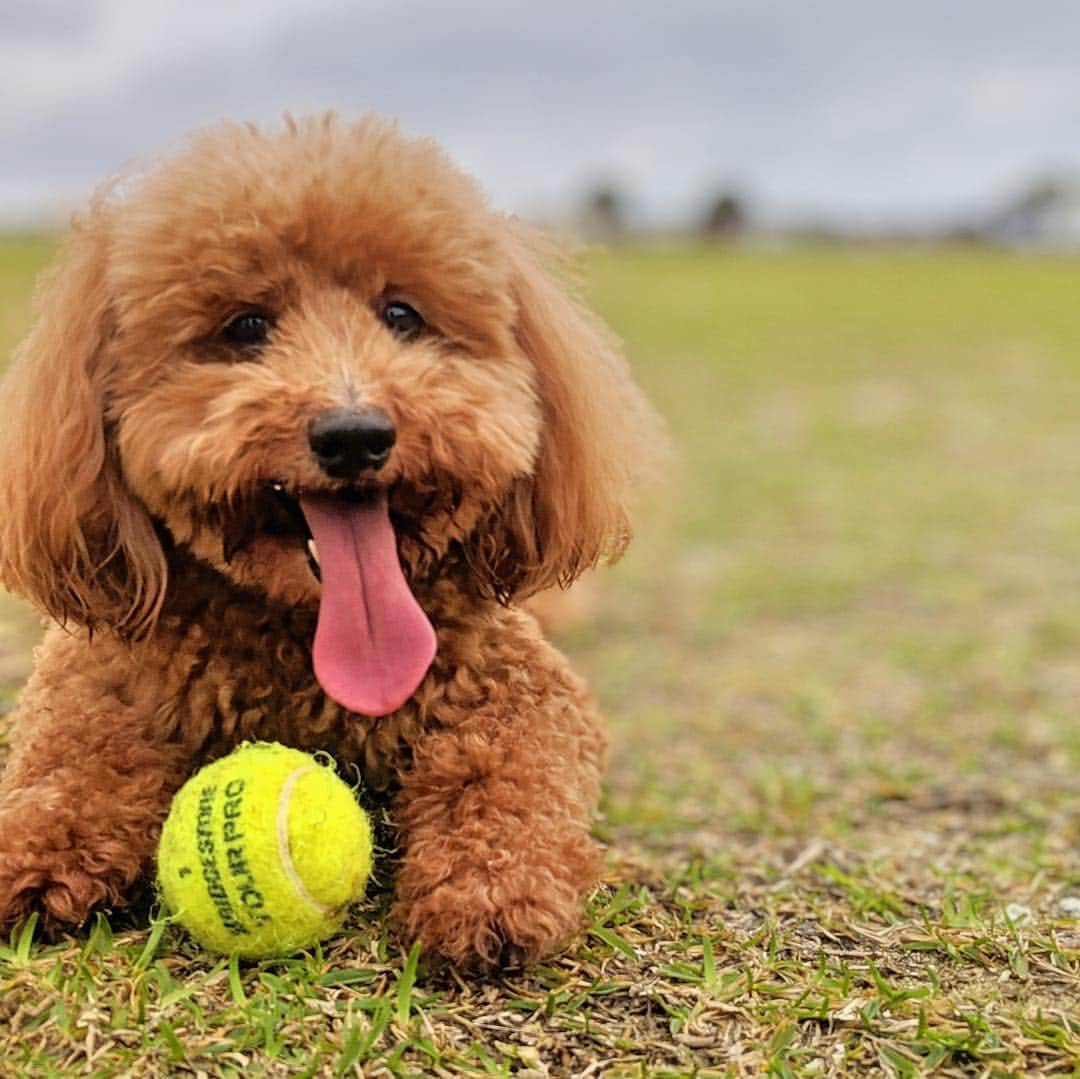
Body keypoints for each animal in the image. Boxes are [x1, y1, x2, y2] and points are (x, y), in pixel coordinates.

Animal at [0, 113, 656, 967]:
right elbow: (72, 760)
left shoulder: (522, 686)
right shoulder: (96, 673)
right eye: (246, 327)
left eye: (402, 315)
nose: (354, 435)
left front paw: (488, 888)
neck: (303, 643)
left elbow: (506, 769)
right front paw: (38, 851)